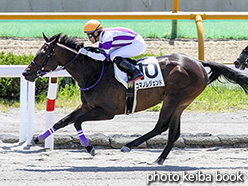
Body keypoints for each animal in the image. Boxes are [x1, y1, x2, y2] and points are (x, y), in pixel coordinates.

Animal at [22, 33, 248, 164]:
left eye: (43, 53)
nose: (26, 73)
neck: (94, 72)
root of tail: (199, 63)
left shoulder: (107, 112)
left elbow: (76, 121)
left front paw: (90, 148)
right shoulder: (87, 106)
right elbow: (62, 121)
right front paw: (37, 139)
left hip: (174, 98)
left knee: (161, 126)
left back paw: (129, 145)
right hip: (181, 102)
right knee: (173, 132)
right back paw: (159, 159)